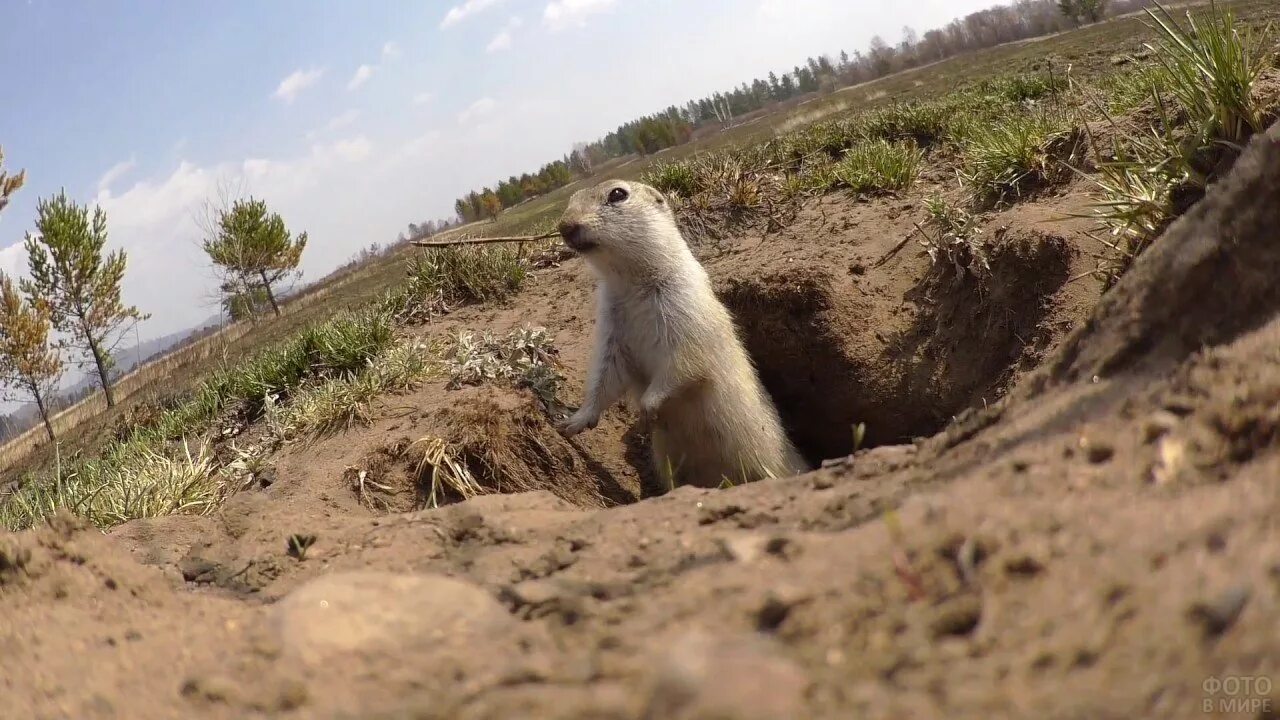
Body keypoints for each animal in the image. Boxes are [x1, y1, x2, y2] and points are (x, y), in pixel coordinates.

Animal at [552, 178, 808, 486]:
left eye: (618, 194)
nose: (564, 226)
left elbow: (683, 362)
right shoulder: (609, 327)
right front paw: (571, 422)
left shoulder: (684, 308)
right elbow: (605, 376)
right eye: (572, 198)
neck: (630, 282)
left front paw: (646, 411)